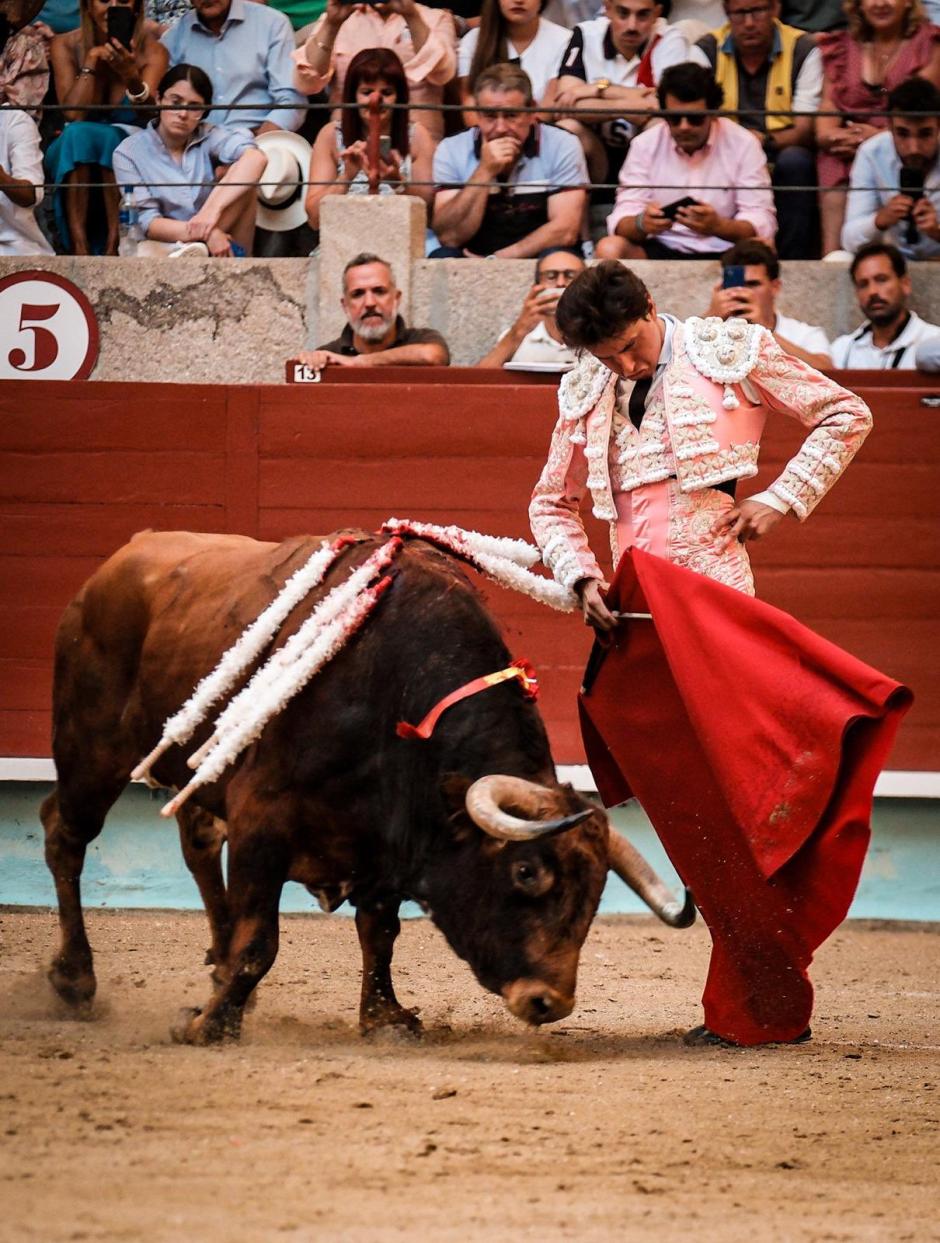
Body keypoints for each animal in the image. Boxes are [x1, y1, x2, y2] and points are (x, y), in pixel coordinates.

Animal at [42, 529, 691, 1044]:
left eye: (596, 893)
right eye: (527, 872)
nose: (548, 1002)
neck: (393, 695)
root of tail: (119, 559)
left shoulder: (383, 841)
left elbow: (379, 932)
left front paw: (384, 1017)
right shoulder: (261, 825)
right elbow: (261, 942)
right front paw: (208, 1025)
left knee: (197, 843)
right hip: (90, 752)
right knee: (65, 833)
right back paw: (75, 980)